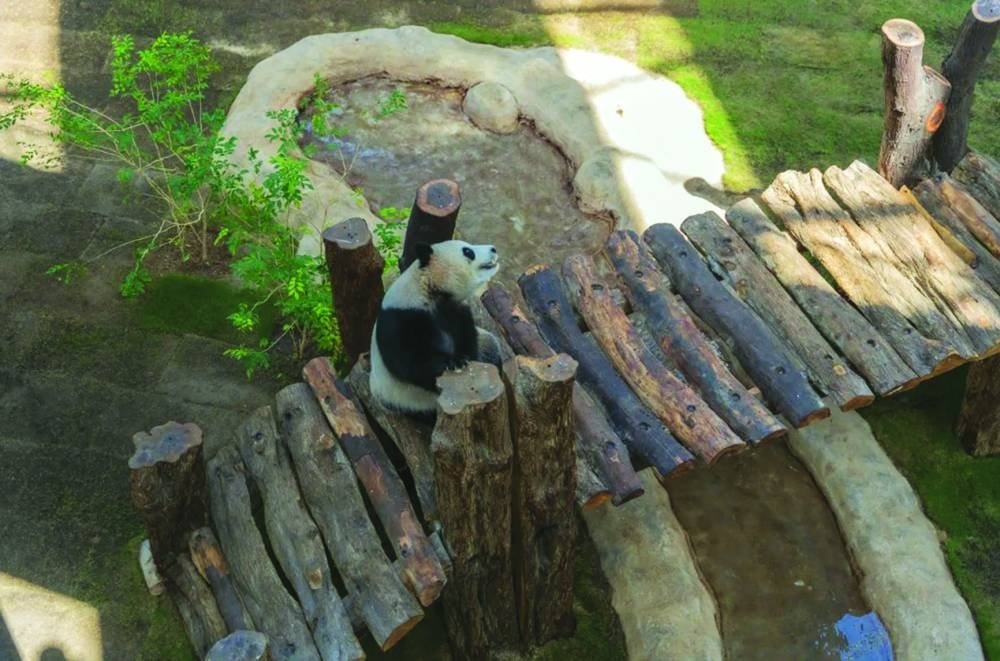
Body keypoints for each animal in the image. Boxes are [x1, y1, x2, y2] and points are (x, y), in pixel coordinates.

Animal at [369, 239, 503, 419]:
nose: (493, 249)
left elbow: (469, 344)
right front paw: (454, 362)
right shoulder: (401, 318)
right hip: (403, 399)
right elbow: (412, 364)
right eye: (468, 252)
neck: (430, 288)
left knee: (491, 348)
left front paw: (462, 357)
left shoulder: (457, 311)